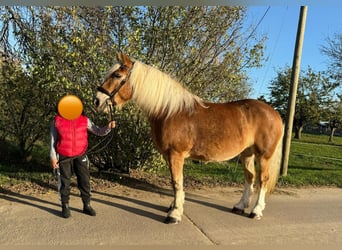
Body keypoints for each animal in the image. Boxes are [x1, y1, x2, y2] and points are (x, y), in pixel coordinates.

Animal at [93, 52, 284, 223]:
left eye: (117, 75)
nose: (97, 101)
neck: (169, 111)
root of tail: (274, 113)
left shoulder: (175, 154)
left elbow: (177, 182)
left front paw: (174, 214)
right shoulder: (169, 156)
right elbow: (175, 183)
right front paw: (173, 206)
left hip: (263, 155)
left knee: (262, 180)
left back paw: (256, 211)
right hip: (247, 153)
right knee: (249, 178)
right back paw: (239, 206)